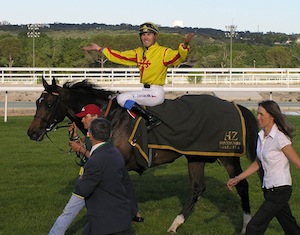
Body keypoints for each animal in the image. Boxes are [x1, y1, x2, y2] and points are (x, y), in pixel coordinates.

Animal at [27, 78, 258, 232]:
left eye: (49, 104)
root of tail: (234, 104)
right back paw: (175, 224)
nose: (31, 132)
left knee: (241, 184)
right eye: (37, 102)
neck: (111, 118)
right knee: (197, 188)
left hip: (227, 154)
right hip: (196, 156)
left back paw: (246, 224)